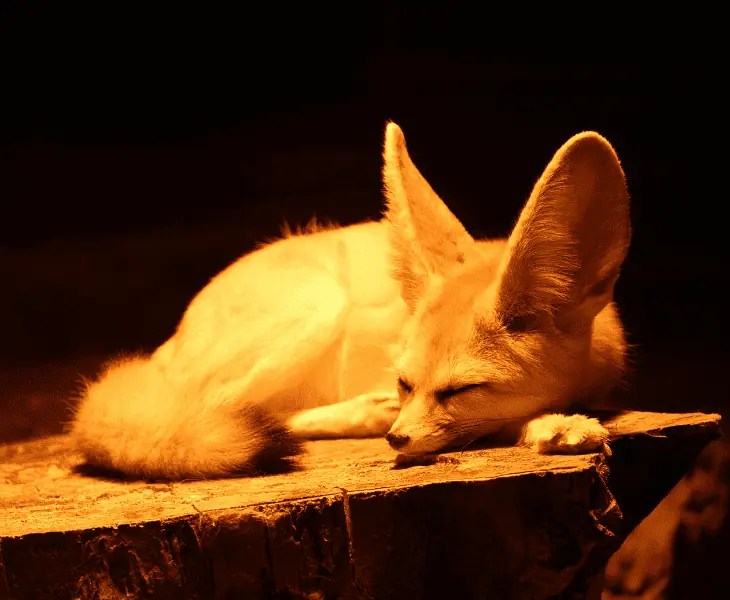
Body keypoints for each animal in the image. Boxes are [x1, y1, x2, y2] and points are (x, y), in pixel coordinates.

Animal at [70, 121, 631, 479]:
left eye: (462, 389)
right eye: (406, 382)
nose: (397, 440)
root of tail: (167, 346)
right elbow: (492, 423)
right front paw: (555, 425)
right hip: (316, 309)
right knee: (223, 410)